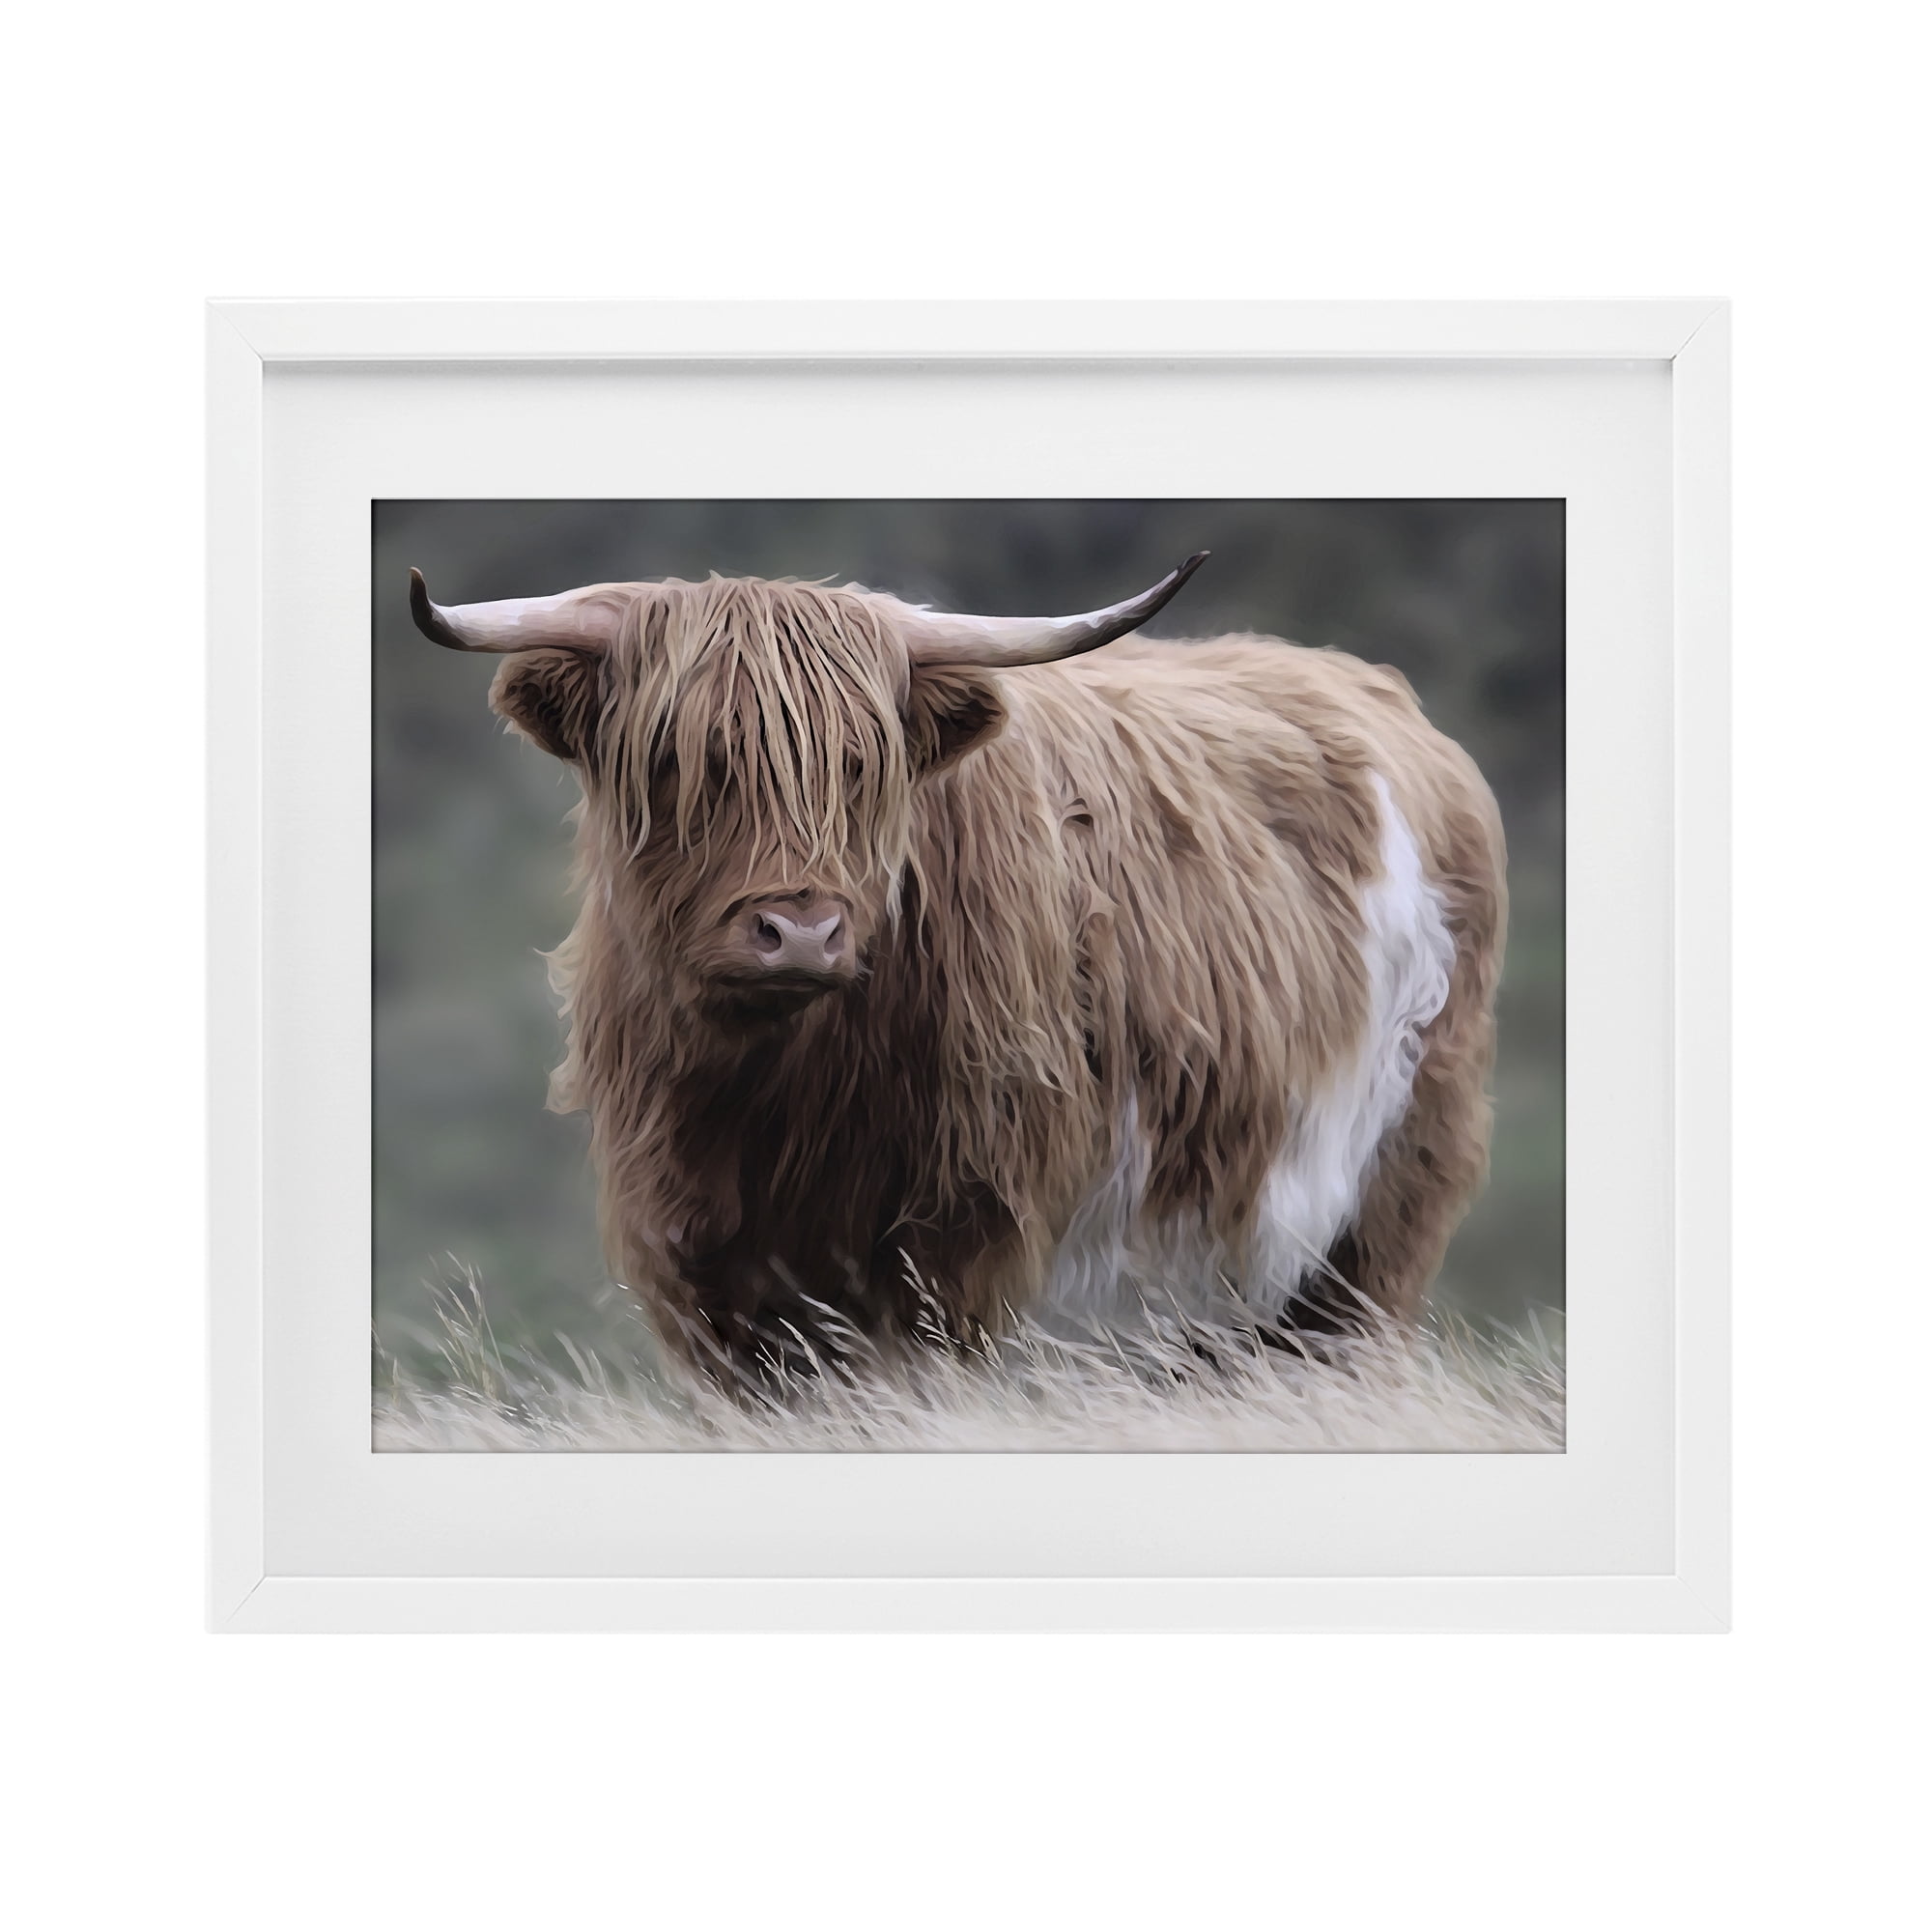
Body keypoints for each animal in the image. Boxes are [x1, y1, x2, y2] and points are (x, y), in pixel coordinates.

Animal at [409, 556, 1507, 1384]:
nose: (799, 931)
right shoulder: (702, 1264)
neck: (774, 1096)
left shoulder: (958, 1248)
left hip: (1373, 1218)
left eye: (863, 765)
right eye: (683, 760)